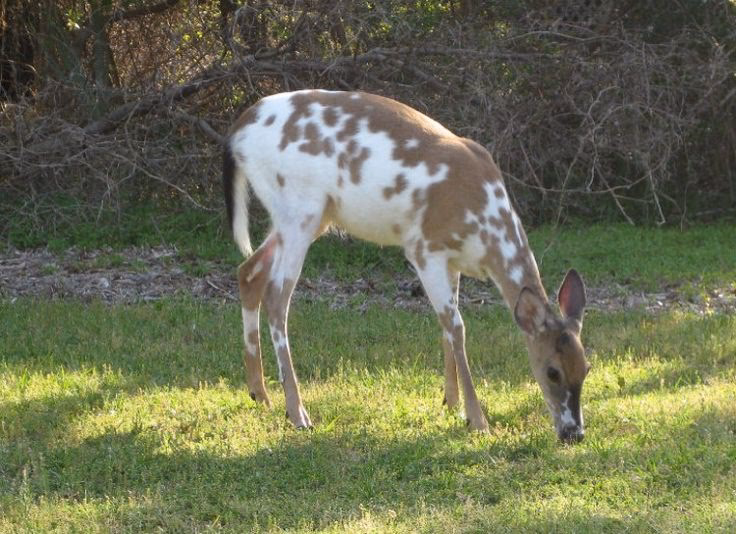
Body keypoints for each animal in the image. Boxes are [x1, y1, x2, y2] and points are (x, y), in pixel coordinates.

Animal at [223, 90, 591, 443]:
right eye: (552, 371)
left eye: (586, 368)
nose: (574, 434)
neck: (485, 228)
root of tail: (239, 130)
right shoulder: (424, 248)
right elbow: (457, 327)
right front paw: (477, 420)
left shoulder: (453, 260)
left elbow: (447, 326)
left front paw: (451, 402)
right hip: (299, 208)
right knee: (276, 298)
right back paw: (298, 413)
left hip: (306, 217)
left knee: (249, 271)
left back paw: (260, 394)